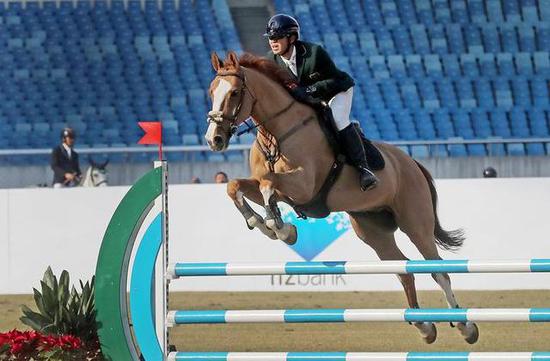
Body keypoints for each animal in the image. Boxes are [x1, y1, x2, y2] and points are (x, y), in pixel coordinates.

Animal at [205, 50, 480, 344]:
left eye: (234, 92)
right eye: (211, 91)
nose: (214, 140)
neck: (277, 132)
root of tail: (412, 163)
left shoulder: (302, 186)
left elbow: (269, 185)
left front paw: (280, 227)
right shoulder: (271, 187)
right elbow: (235, 186)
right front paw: (266, 224)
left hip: (416, 224)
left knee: (439, 270)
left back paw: (465, 326)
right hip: (372, 231)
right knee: (403, 270)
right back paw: (425, 327)